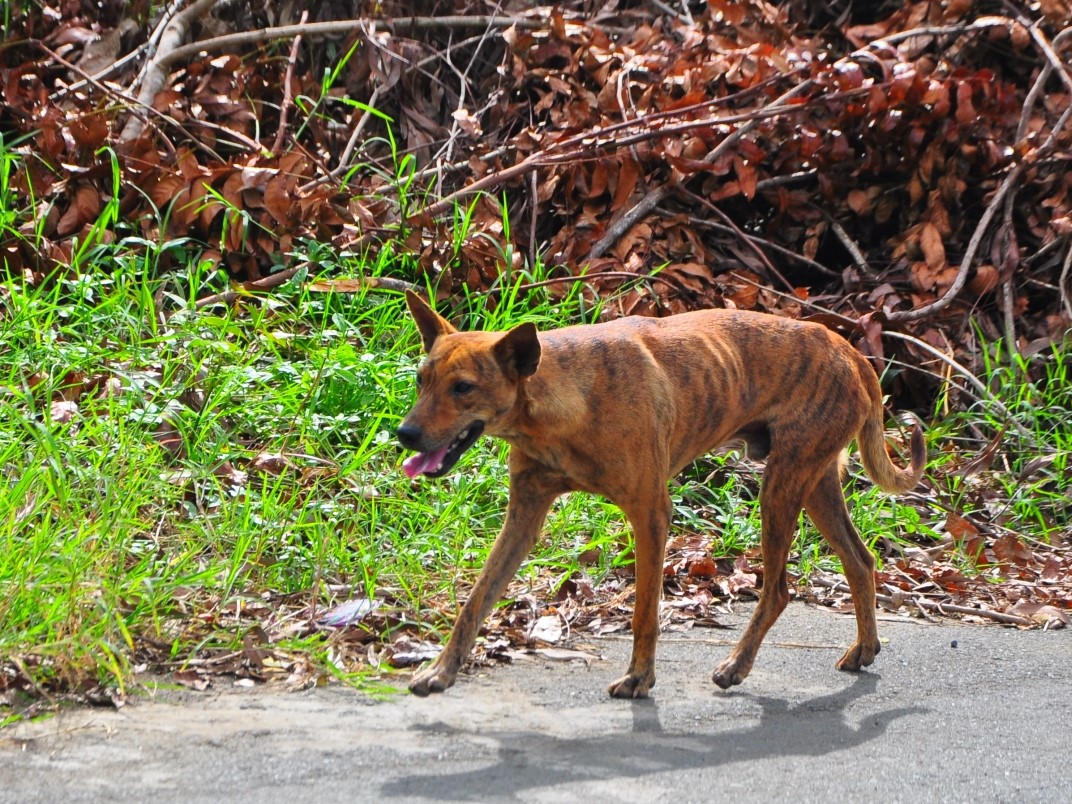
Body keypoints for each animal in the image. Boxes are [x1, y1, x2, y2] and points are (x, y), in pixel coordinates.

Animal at [398, 293, 926, 703]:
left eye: (463, 388)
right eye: (421, 380)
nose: (405, 435)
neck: (564, 401)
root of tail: (848, 349)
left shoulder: (650, 514)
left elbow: (644, 613)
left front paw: (639, 678)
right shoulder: (523, 516)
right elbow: (475, 602)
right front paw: (441, 671)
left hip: (782, 487)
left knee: (778, 589)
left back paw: (736, 666)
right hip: (814, 484)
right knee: (860, 561)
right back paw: (864, 648)